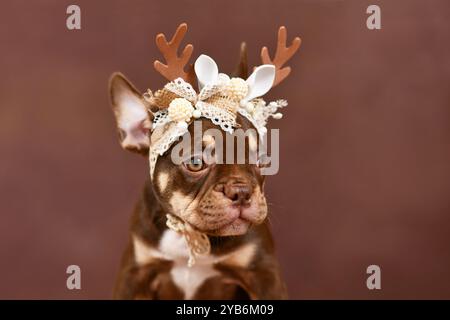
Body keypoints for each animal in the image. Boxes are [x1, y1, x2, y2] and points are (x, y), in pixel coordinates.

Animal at [107, 23, 300, 300]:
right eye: (196, 163)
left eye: (262, 160)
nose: (241, 192)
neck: (189, 235)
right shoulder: (134, 273)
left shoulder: (264, 274)